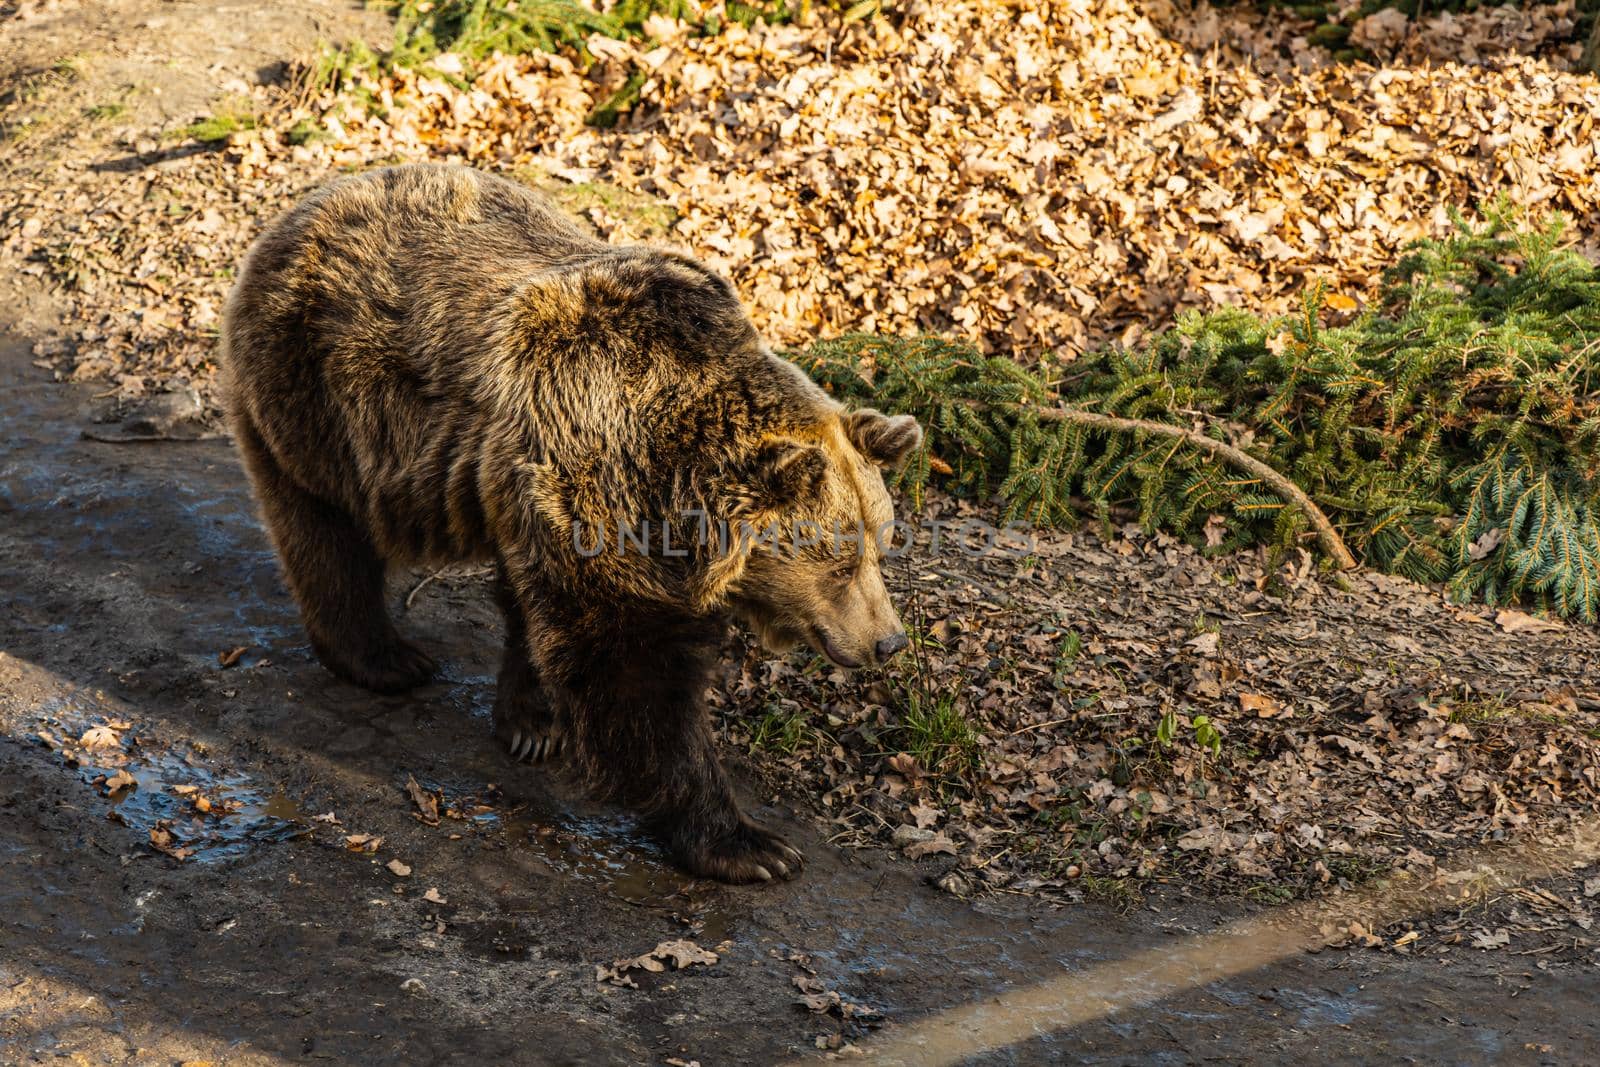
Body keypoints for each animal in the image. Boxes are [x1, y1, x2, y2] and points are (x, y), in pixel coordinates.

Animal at [225, 164, 928, 883]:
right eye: (841, 563)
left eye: (881, 546)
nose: (889, 641)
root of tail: (306, 205)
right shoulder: (594, 483)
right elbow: (630, 668)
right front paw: (747, 843)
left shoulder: (556, 495)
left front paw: (537, 724)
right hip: (319, 398)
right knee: (326, 533)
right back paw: (385, 658)